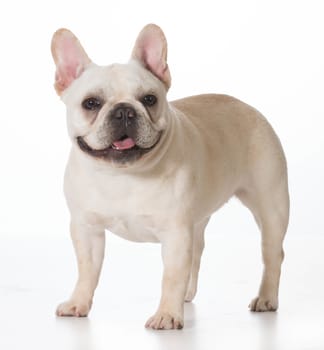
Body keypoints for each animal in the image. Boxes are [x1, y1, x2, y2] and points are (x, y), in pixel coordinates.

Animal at [50, 23, 288, 330]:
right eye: (91, 103)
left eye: (149, 99)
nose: (124, 111)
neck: (122, 175)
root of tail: (248, 107)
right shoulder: (85, 228)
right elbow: (86, 269)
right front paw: (78, 302)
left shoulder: (175, 234)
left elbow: (171, 276)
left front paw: (167, 315)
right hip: (198, 221)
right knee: (197, 253)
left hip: (271, 207)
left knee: (272, 253)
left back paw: (266, 298)